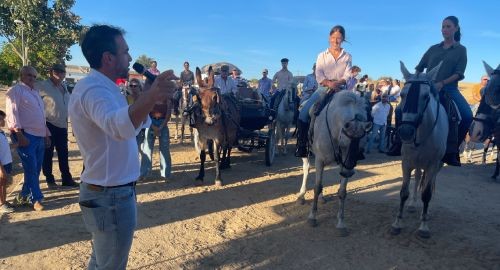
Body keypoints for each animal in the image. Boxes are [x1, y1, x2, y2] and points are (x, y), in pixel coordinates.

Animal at [300, 90, 372, 236]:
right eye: (344, 143)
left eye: (362, 145)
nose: (348, 173)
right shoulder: (320, 159)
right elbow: (317, 187)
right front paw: (312, 217)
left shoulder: (344, 164)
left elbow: (342, 192)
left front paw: (341, 224)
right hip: (307, 154)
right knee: (306, 169)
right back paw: (302, 195)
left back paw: (322, 198)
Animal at [388, 61, 448, 238]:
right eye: (402, 95)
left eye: (426, 96)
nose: (406, 132)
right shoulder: (406, 163)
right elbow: (403, 192)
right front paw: (397, 223)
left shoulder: (433, 164)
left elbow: (426, 195)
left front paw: (424, 226)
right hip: (417, 163)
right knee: (418, 178)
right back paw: (413, 205)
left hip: (435, 166)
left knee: (429, 183)